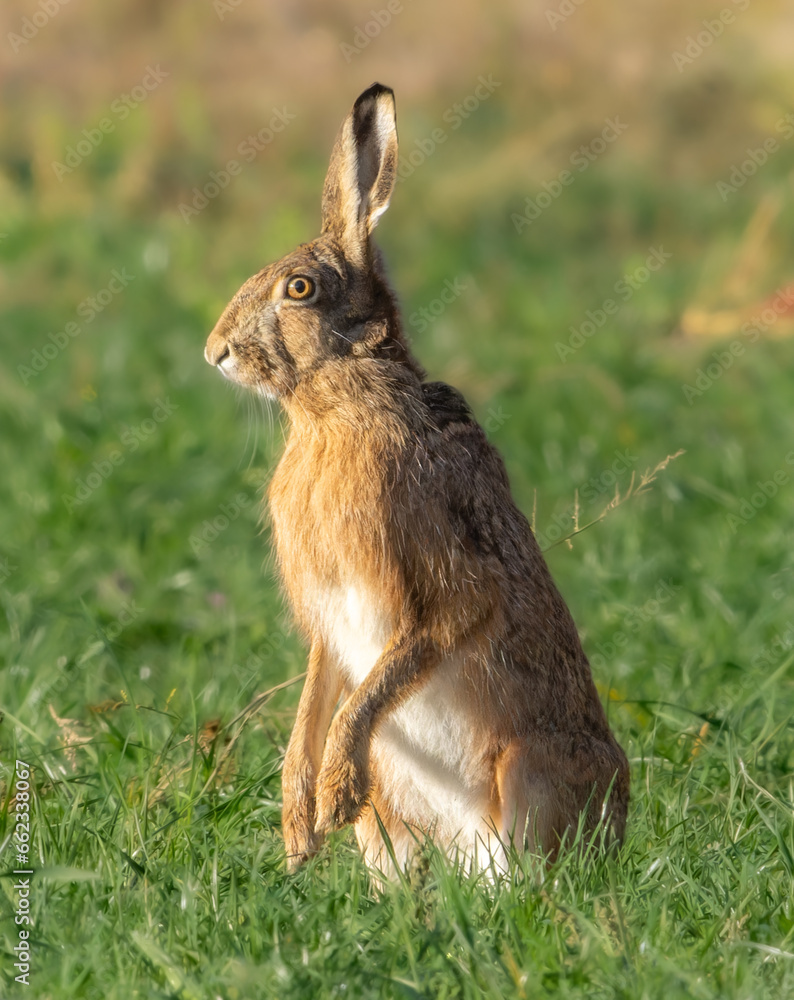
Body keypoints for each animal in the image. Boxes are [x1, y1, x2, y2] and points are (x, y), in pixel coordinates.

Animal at [204, 83, 629, 875]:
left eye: (300, 289)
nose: (215, 352)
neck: (335, 414)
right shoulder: (328, 625)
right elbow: (318, 695)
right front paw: (300, 824)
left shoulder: (445, 582)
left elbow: (402, 662)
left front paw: (330, 794)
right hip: (390, 817)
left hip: (527, 773)